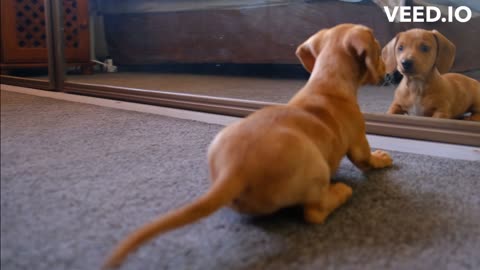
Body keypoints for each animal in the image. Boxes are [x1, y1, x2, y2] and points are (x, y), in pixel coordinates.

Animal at [103, 24, 392, 268]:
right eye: (379, 51)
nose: (388, 70)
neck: (327, 81)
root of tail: (234, 170)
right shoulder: (358, 141)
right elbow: (366, 159)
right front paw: (381, 158)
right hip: (316, 169)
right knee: (314, 212)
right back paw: (340, 192)